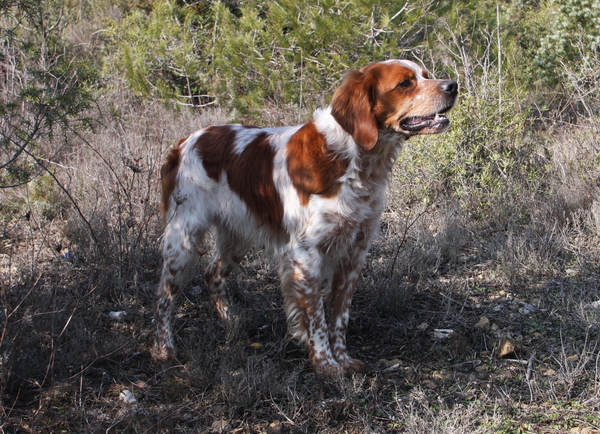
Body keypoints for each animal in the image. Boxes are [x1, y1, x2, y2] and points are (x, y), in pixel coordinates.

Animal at [152, 59, 458, 374]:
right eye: (405, 83)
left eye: (426, 75)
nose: (453, 85)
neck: (353, 160)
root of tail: (184, 142)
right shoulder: (306, 255)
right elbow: (317, 317)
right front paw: (326, 365)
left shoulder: (354, 252)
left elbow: (339, 315)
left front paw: (343, 359)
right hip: (182, 239)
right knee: (164, 296)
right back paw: (164, 349)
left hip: (236, 238)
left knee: (211, 272)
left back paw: (231, 322)